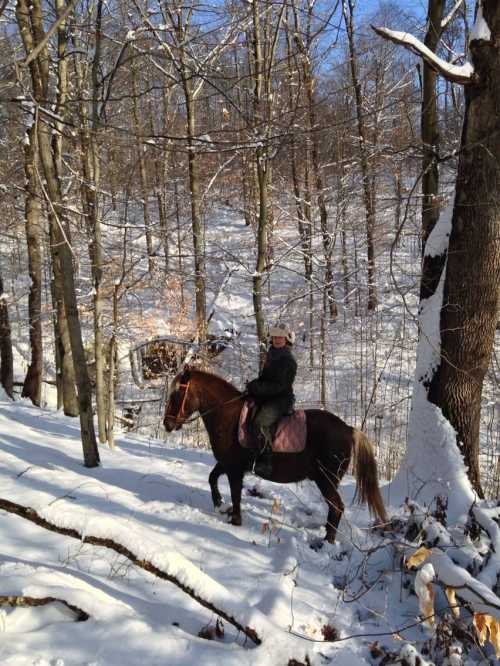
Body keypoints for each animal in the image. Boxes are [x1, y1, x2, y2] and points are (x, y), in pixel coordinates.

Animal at [164, 366, 386, 544]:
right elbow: (212, 478)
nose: (167, 424)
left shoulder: (234, 468)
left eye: (176, 395)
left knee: (337, 507)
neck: (228, 416)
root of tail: (348, 429)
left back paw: (327, 542)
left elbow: (235, 493)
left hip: (326, 480)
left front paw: (235, 520)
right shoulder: (227, 463)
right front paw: (219, 504)